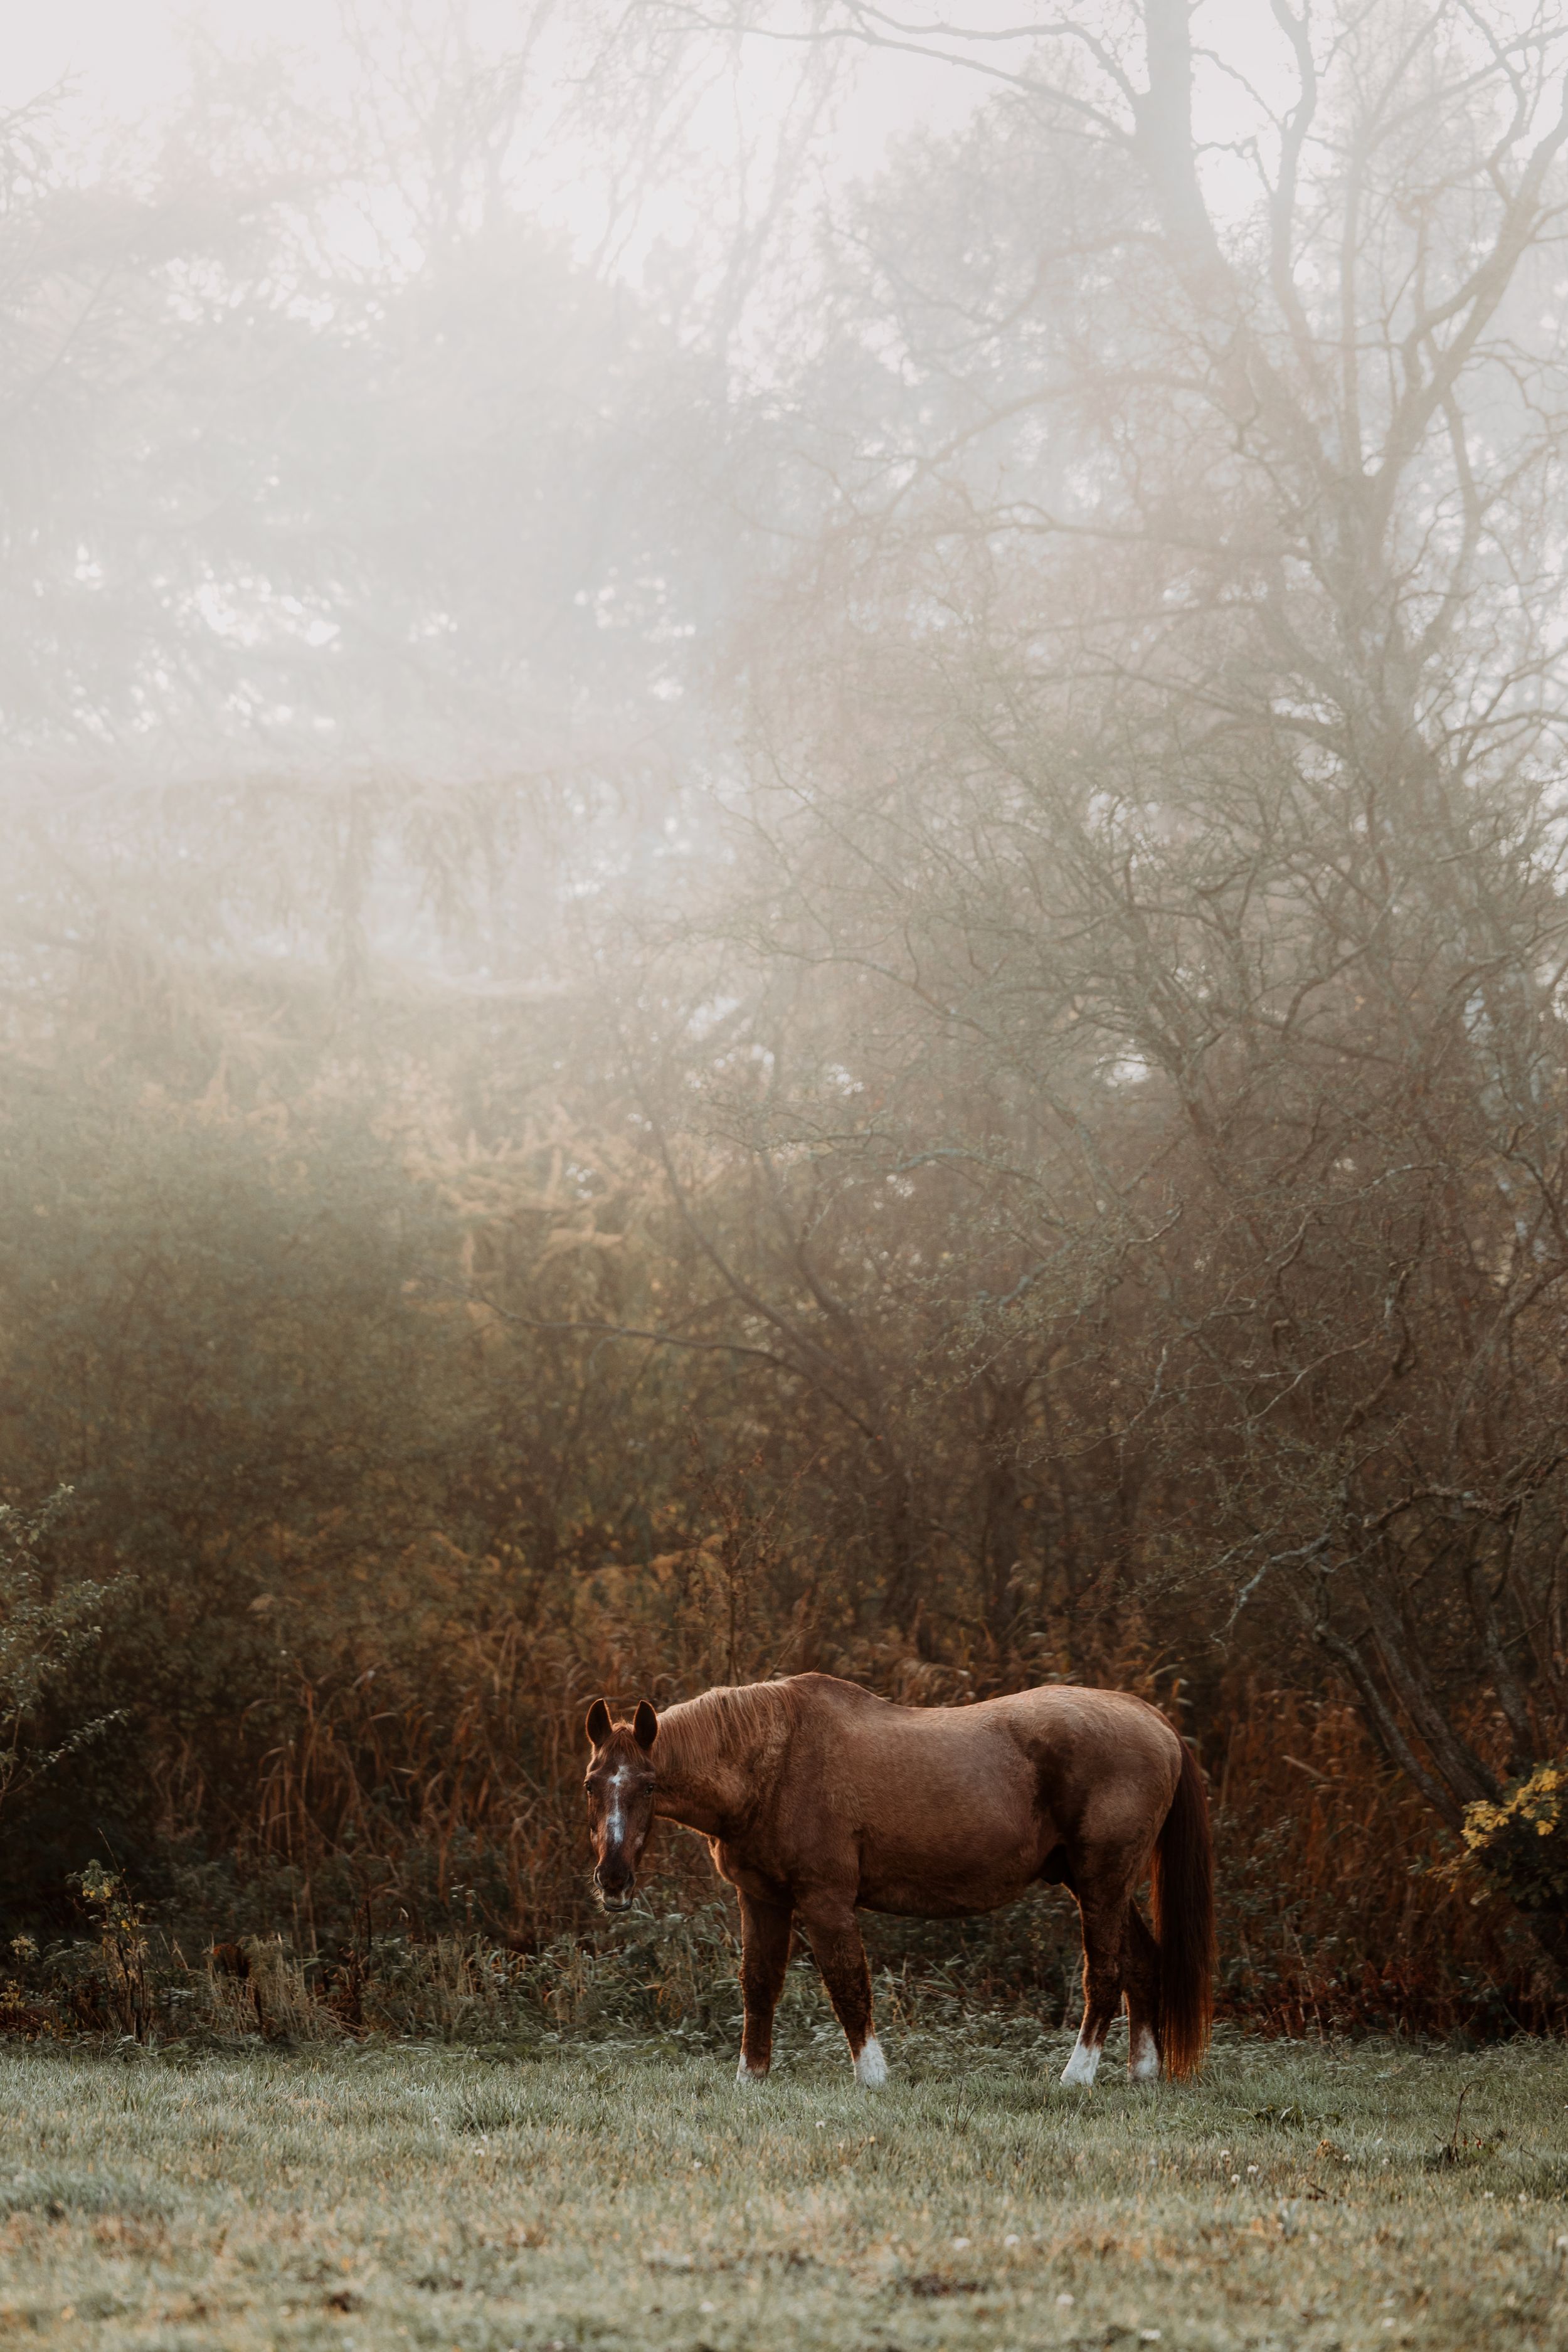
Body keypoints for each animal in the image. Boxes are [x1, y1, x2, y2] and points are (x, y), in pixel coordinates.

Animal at [582, 1670, 1213, 2089]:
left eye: (649, 1785)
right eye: (592, 1783)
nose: (613, 1879)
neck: (775, 1765)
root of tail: (1154, 1721)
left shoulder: (826, 1900)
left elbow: (848, 1985)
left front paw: (873, 2078)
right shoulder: (762, 1898)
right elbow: (759, 1985)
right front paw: (750, 2079)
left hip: (1101, 1882)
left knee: (1103, 1975)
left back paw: (1075, 2078)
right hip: (1104, 1886)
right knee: (1142, 1965)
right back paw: (1142, 2073)